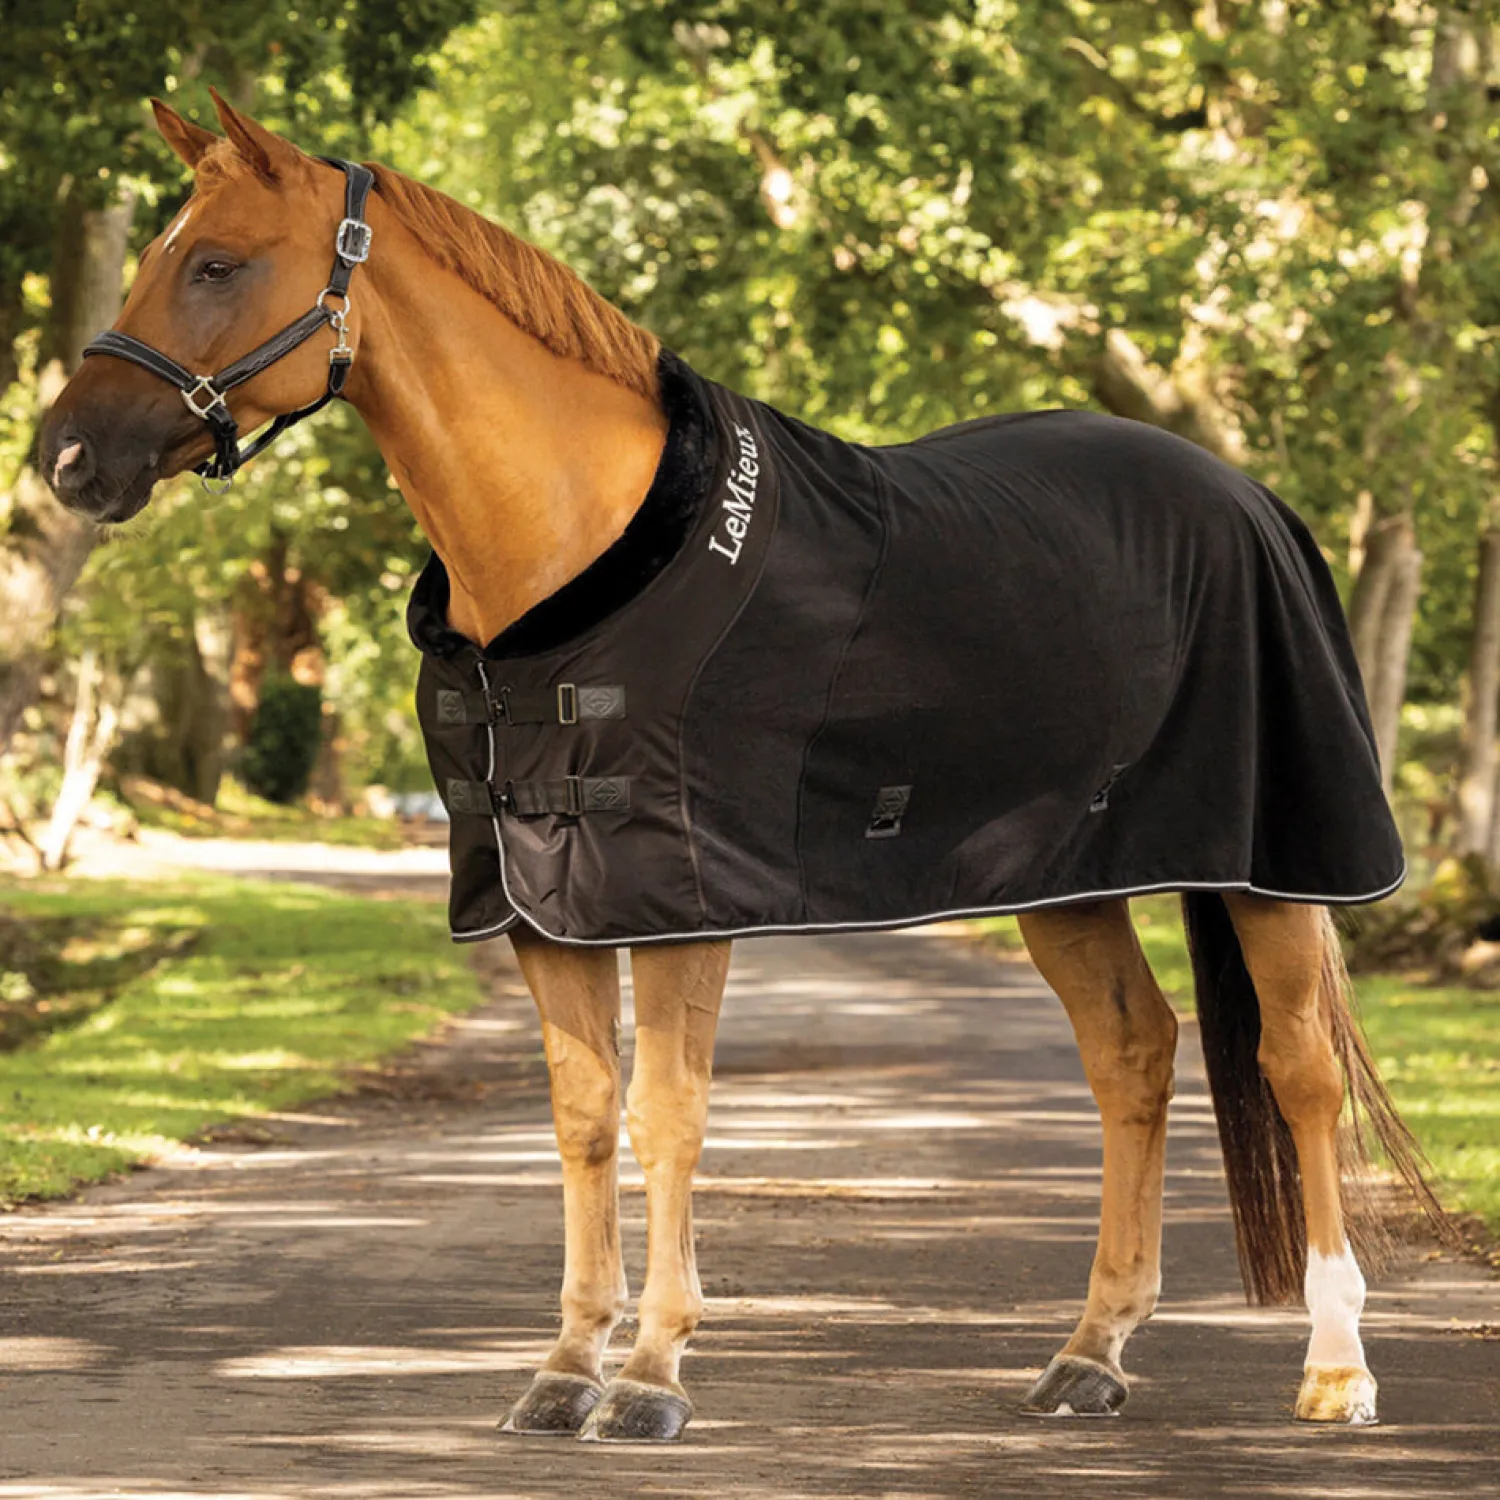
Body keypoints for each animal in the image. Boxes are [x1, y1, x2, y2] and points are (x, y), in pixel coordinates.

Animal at [40, 92, 1445, 1443]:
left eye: (216, 264)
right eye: (158, 255)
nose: (66, 457)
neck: (572, 549)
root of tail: (1251, 501)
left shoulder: (678, 903)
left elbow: (669, 1116)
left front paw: (653, 1375)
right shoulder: (542, 908)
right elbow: (584, 1118)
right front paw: (563, 1373)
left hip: (1272, 870)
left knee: (1300, 1073)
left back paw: (1336, 1369)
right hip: (1067, 874)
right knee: (1134, 1055)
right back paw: (1089, 1356)